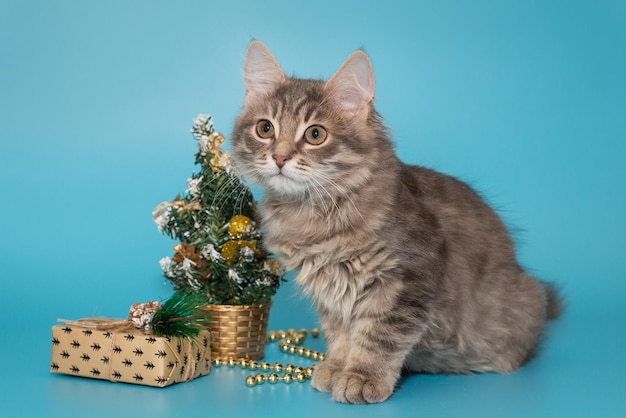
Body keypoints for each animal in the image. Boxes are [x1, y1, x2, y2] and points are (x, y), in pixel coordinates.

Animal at [229, 40, 560, 404]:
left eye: (315, 134)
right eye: (265, 129)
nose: (280, 157)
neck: (312, 214)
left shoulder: (408, 278)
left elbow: (379, 336)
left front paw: (362, 376)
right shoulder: (330, 294)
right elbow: (341, 334)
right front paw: (337, 366)